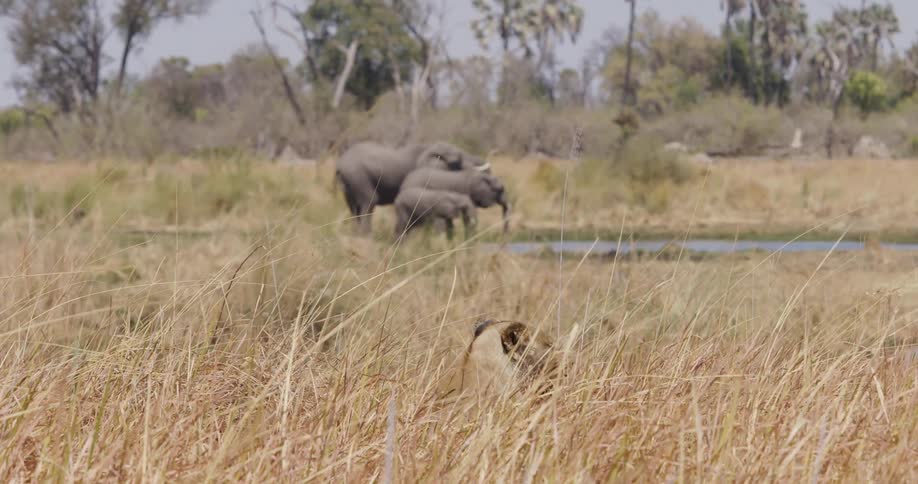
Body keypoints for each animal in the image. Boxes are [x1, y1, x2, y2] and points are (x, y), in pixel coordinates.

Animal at [335, 141, 491, 234]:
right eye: (457, 161)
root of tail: (340, 163)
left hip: (349, 184)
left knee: (354, 208)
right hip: (359, 176)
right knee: (369, 203)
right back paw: (367, 237)